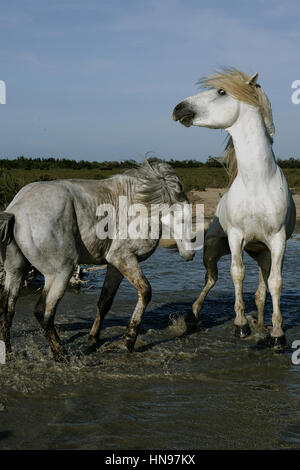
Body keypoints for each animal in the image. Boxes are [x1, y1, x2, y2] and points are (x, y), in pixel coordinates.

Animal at [172, 68, 296, 346]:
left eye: (221, 92)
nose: (178, 108)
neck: (258, 181)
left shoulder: (278, 240)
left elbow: (275, 283)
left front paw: (277, 334)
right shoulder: (236, 237)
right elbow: (237, 273)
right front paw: (240, 325)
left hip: (263, 254)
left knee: (261, 290)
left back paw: (261, 326)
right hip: (212, 249)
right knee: (211, 280)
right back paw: (191, 317)